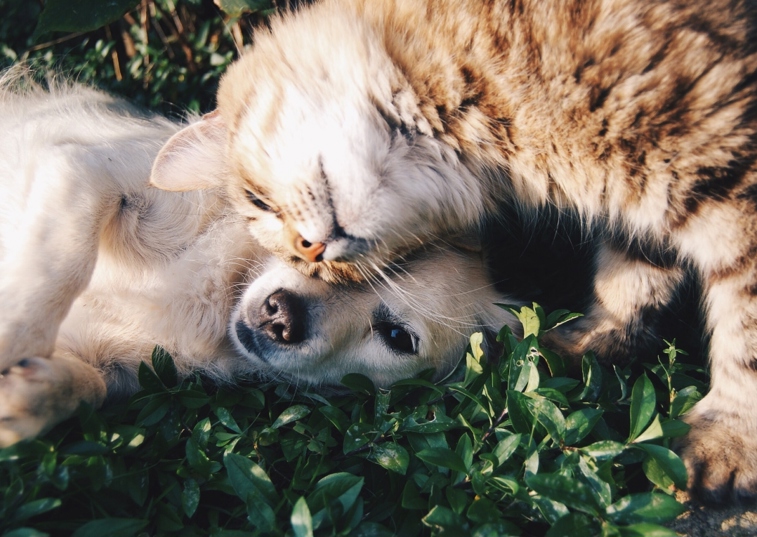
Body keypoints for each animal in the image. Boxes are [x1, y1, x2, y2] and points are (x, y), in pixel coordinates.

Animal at [149, 0, 756, 502]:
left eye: (257, 201)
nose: (312, 251)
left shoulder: (728, 173)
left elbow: (744, 330)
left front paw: (729, 440)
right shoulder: (643, 204)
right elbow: (632, 276)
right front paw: (590, 343)